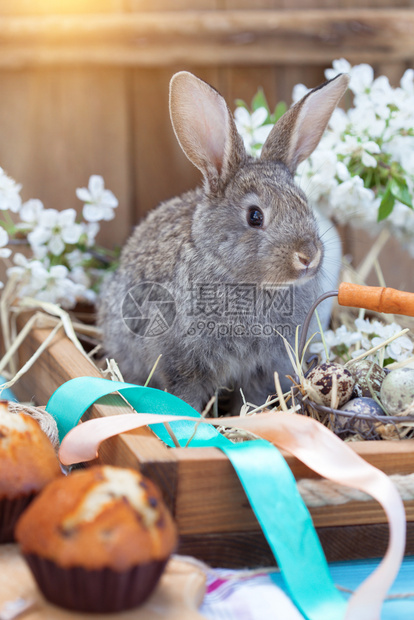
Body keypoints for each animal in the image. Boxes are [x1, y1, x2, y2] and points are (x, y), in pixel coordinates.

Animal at [98, 71, 348, 412]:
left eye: (304, 204)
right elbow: (184, 393)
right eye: (255, 216)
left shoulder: (265, 367)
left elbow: (251, 397)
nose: (308, 256)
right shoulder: (183, 362)